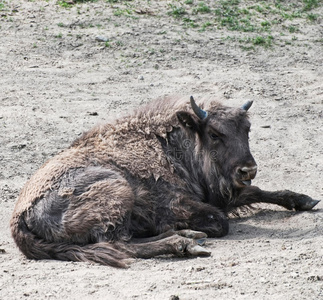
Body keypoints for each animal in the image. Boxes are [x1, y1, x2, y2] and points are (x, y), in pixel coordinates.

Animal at [11, 96, 320, 268]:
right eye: (214, 134)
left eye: (248, 129)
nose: (248, 169)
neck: (172, 144)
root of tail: (19, 218)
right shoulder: (181, 204)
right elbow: (221, 221)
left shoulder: (222, 193)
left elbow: (254, 192)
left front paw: (304, 200)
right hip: (117, 191)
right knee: (120, 245)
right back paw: (185, 242)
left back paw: (188, 236)